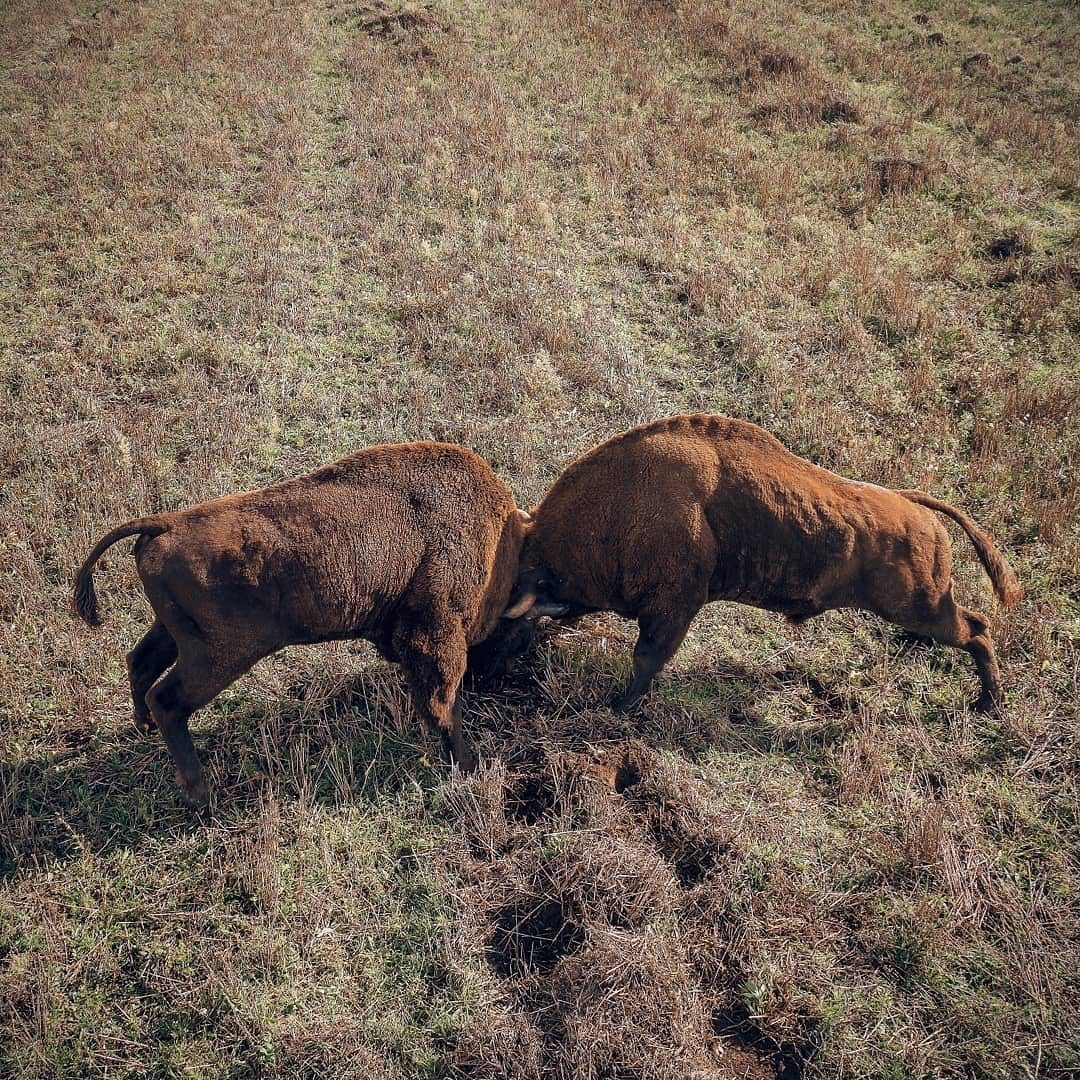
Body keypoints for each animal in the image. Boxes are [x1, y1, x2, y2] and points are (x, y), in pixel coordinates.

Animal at [73, 442, 529, 807]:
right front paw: (467, 765)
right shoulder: (435, 630)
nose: (498, 675)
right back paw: (202, 796)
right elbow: (442, 702)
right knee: (167, 698)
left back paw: (146, 729)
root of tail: (167, 522)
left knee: (140, 662)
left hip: (173, 633)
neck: (500, 543)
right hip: (219, 656)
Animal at [505, 414, 1019, 717]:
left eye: (502, 627)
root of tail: (916, 508)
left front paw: (618, 705)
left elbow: (646, 659)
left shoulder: (674, 609)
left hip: (922, 606)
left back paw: (989, 703)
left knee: (977, 628)